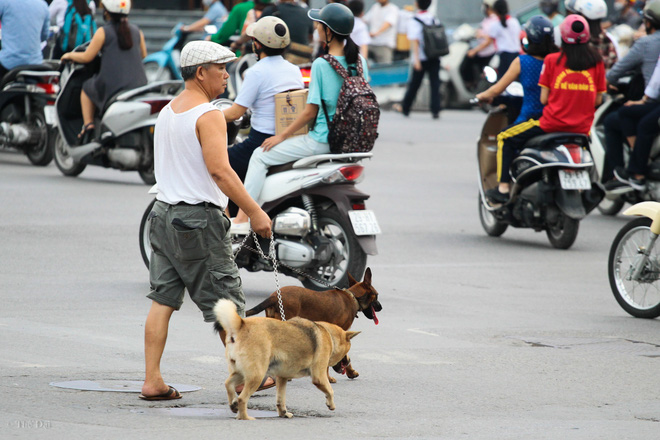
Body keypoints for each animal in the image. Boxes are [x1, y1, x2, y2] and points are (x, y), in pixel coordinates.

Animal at [215, 300, 360, 420]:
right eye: (347, 351)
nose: (348, 361)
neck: (328, 333)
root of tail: (241, 325)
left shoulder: (282, 378)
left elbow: (280, 399)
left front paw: (283, 413)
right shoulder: (319, 376)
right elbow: (330, 390)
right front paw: (331, 404)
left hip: (242, 372)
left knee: (228, 384)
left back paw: (233, 405)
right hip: (257, 375)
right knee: (242, 398)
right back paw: (244, 417)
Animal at [246, 266, 382, 380]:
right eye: (377, 295)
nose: (381, 307)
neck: (353, 296)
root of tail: (273, 296)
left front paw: (350, 371)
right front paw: (330, 376)